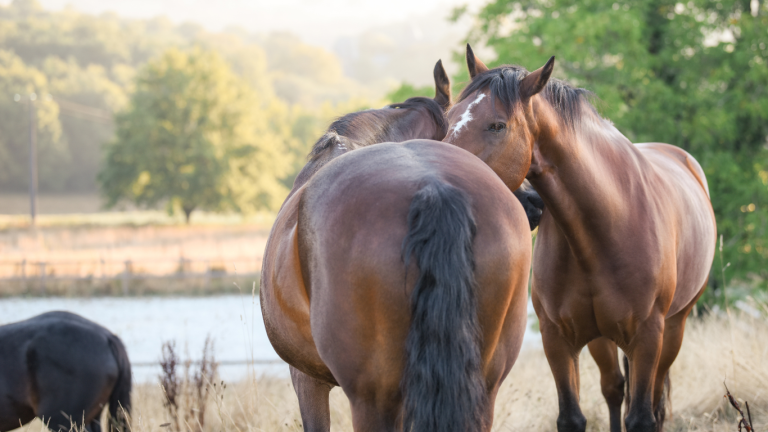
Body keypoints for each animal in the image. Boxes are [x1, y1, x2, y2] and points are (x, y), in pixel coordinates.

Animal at [443, 45, 716, 432]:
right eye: (449, 117)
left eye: (497, 125)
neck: (604, 226)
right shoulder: (557, 339)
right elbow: (572, 417)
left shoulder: (648, 337)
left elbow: (642, 417)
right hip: (603, 338)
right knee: (614, 388)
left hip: (675, 327)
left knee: (655, 399)